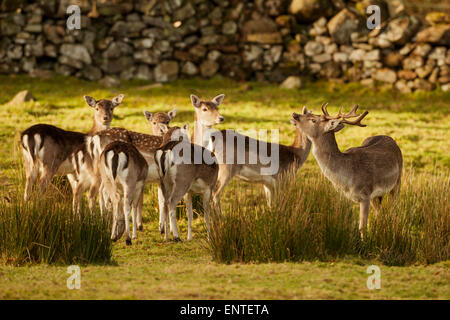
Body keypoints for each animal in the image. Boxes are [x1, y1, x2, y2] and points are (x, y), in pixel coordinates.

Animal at [290, 104, 402, 236]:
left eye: (313, 120)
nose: (295, 115)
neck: (347, 178)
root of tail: (391, 139)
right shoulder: (345, 196)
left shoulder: (365, 194)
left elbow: (362, 227)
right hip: (377, 196)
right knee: (380, 213)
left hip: (397, 182)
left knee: (394, 210)